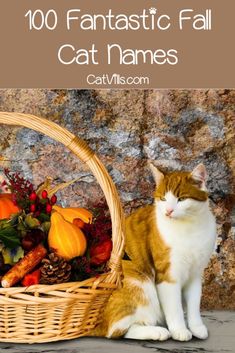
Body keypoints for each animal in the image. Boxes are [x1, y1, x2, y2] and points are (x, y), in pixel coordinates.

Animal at [92, 164, 217, 340]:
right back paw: (157, 332)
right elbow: (175, 308)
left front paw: (197, 327)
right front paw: (180, 330)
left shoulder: (196, 274)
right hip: (139, 283)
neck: (189, 228)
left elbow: (194, 304)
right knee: (116, 331)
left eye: (181, 199)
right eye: (163, 199)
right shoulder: (167, 275)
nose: (169, 211)